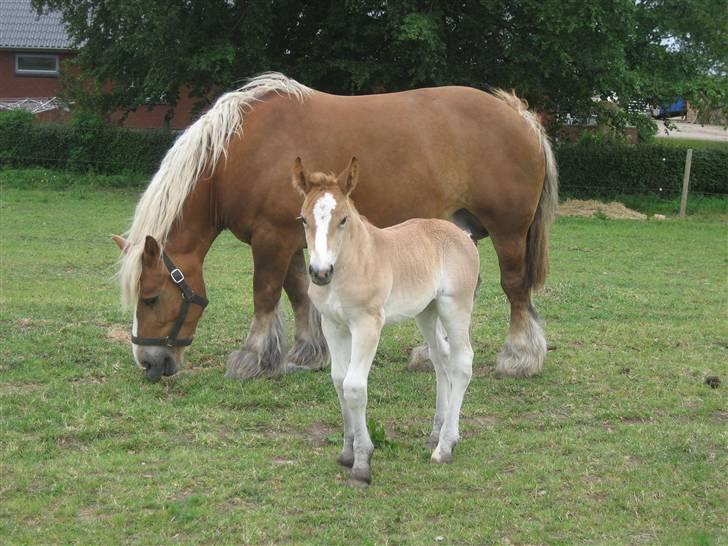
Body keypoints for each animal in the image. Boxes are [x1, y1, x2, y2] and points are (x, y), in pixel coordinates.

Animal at [112, 71, 556, 378]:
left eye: (151, 297)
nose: (148, 362)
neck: (240, 152)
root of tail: (519, 115)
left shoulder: (270, 238)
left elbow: (265, 293)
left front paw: (251, 358)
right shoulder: (290, 237)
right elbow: (297, 293)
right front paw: (306, 352)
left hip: (508, 232)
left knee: (515, 288)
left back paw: (519, 357)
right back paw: (432, 354)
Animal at [292, 157, 480, 484]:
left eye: (343, 219)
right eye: (303, 219)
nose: (320, 272)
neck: (353, 263)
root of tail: (464, 236)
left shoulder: (367, 325)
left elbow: (355, 386)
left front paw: (362, 463)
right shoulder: (333, 326)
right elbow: (338, 380)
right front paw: (347, 452)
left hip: (454, 306)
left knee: (462, 362)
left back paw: (444, 447)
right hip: (427, 311)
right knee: (440, 357)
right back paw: (437, 433)